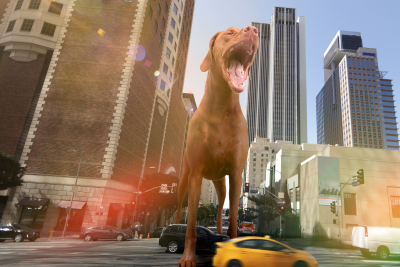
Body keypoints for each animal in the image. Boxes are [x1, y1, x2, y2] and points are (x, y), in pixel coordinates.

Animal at [174, 25, 260, 267]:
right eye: (230, 32)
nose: (253, 29)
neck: (222, 107)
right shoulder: (196, 173)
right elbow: (191, 226)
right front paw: (188, 257)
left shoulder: (237, 174)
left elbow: (233, 223)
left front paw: (234, 249)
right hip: (185, 177)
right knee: (179, 209)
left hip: (222, 185)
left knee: (221, 211)